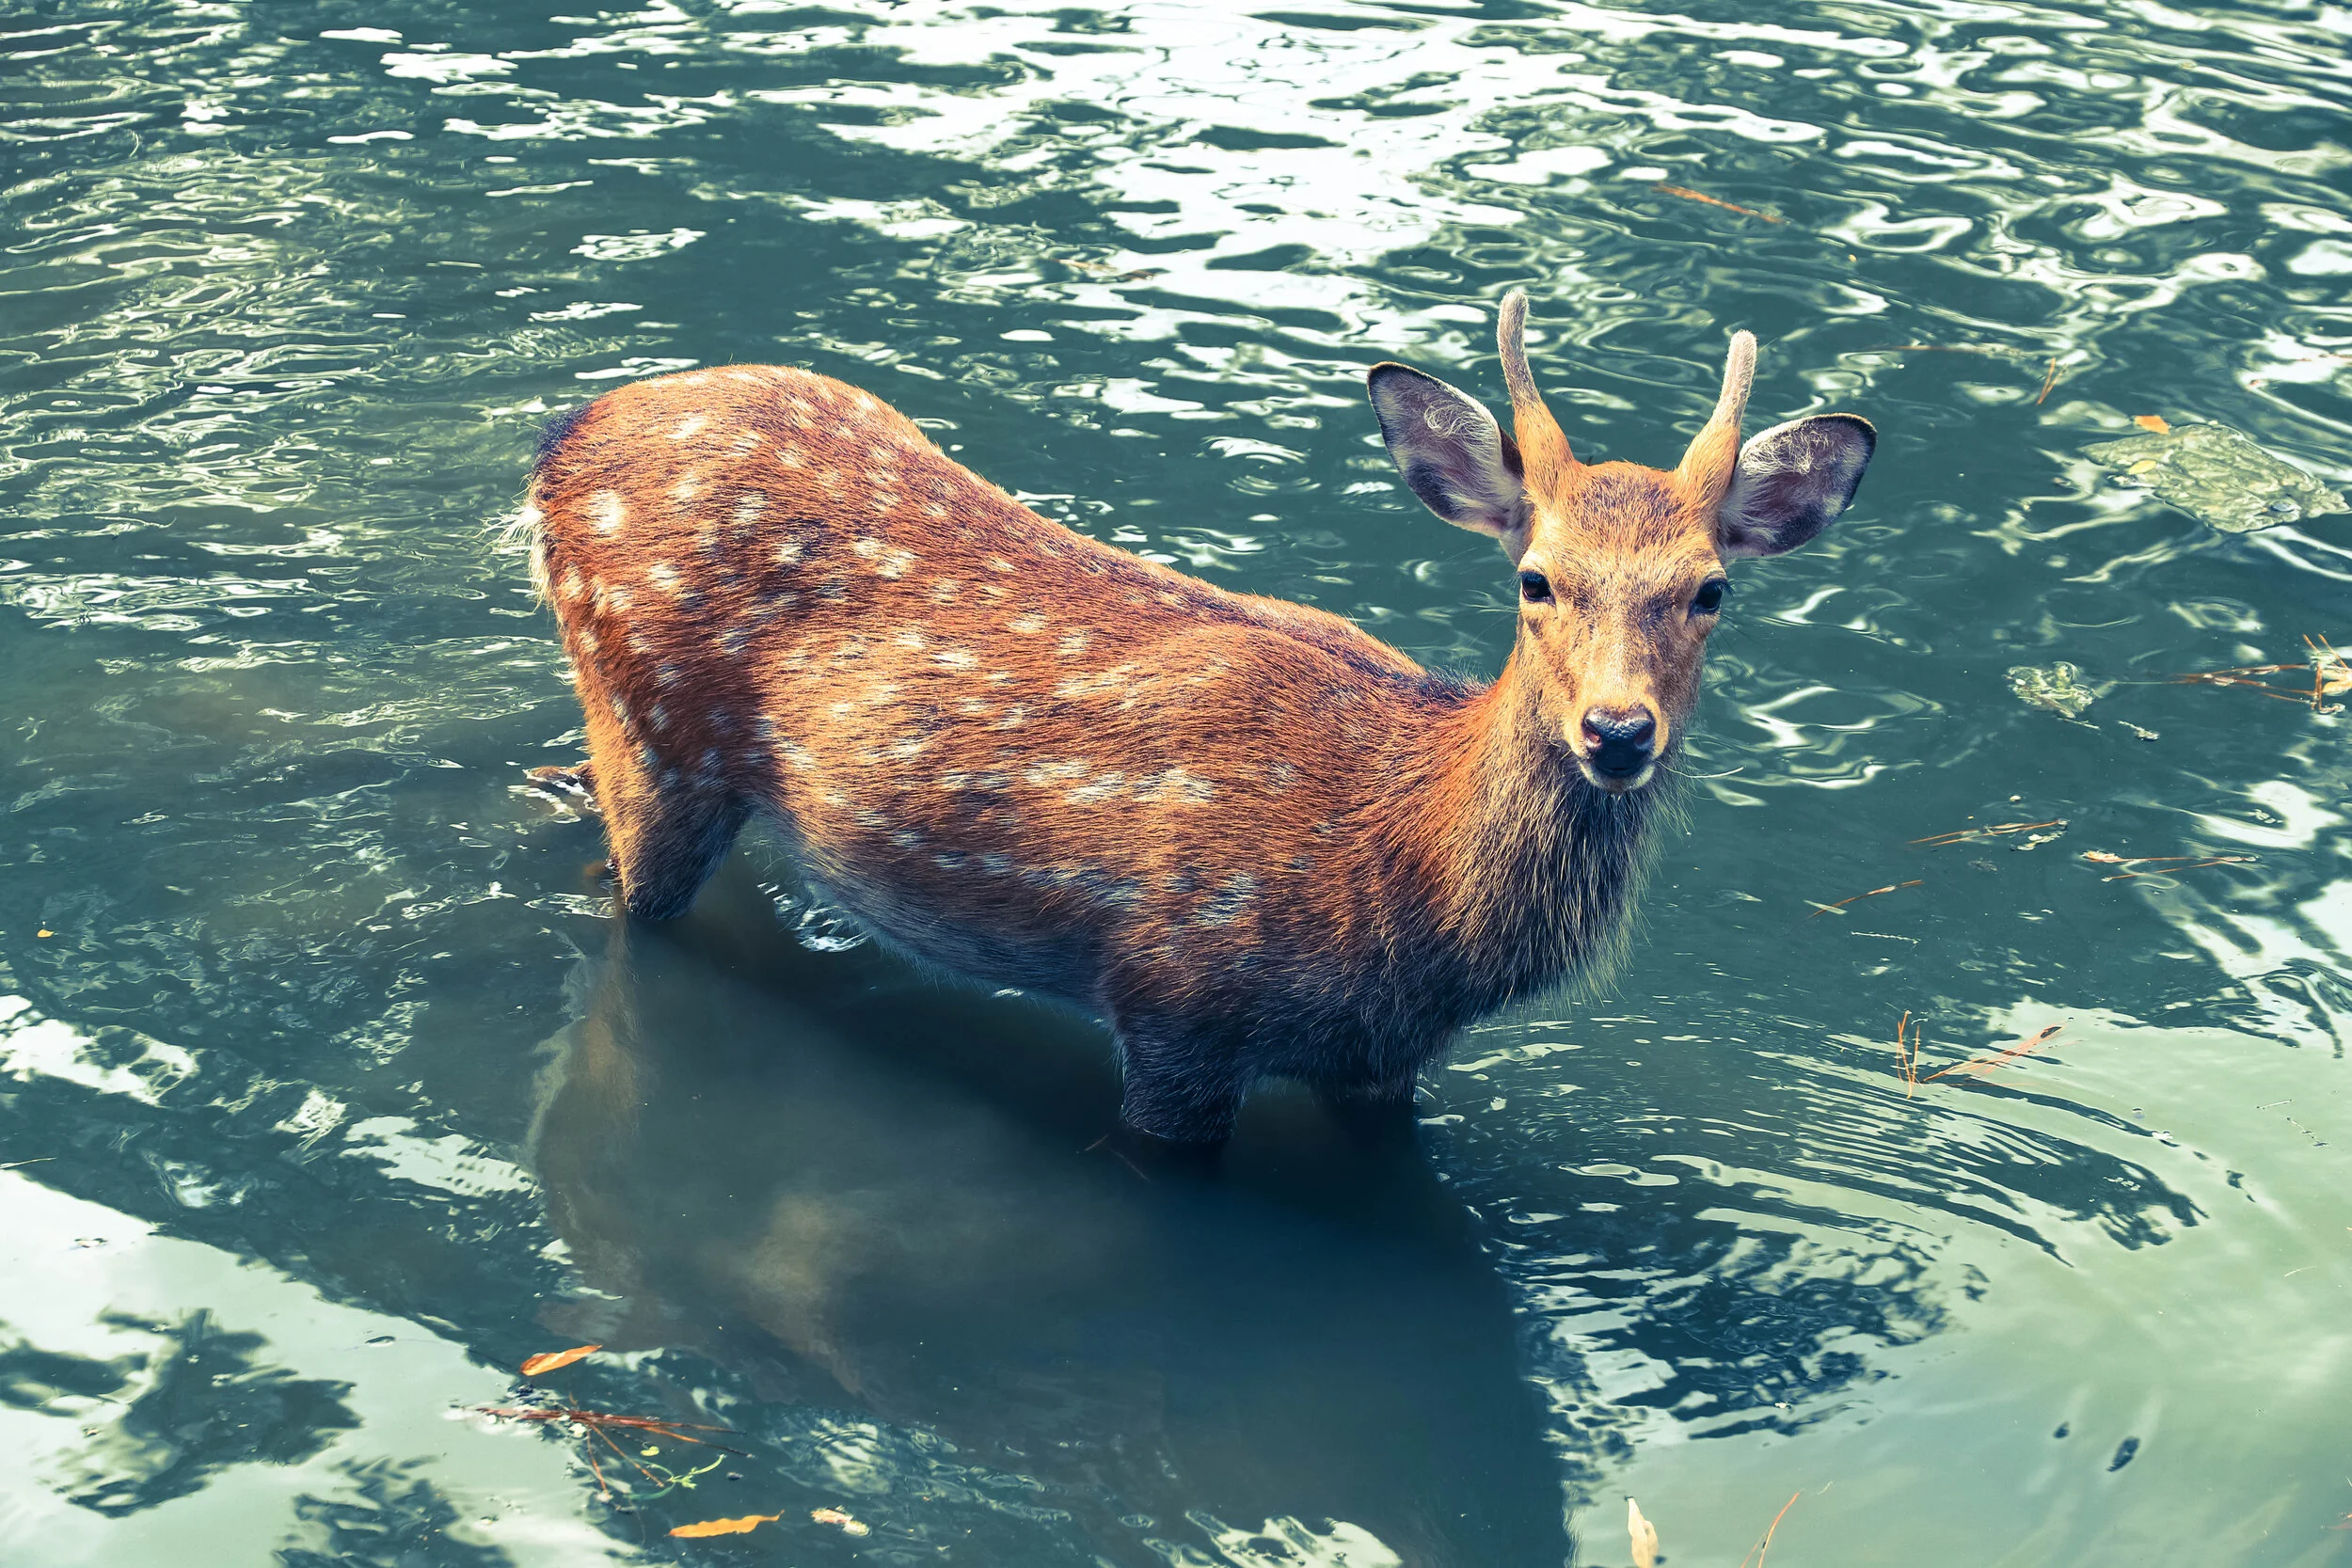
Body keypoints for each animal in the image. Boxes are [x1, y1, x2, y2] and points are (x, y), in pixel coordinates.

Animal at [515, 291, 1874, 1144]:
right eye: (1535, 578)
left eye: (1710, 588)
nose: (1617, 730)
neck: (1407, 891)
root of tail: (557, 446)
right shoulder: (1180, 1003)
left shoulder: (1382, 1064)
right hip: (653, 724)